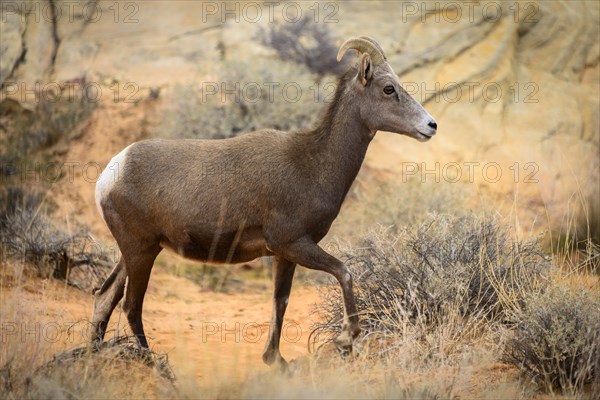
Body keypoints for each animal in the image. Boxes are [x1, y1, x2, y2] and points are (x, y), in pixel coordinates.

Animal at [91, 36, 438, 368]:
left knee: (105, 297)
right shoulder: (293, 243)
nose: (431, 125)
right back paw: (152, 362)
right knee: (131, 305)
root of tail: (109, 175)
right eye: (389, 88)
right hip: (142, 252)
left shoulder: (285, 255)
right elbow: (344, 272)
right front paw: (345, 341)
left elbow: (279, 301)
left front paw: (275, 360)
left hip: (137, 252)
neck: (313, 164)